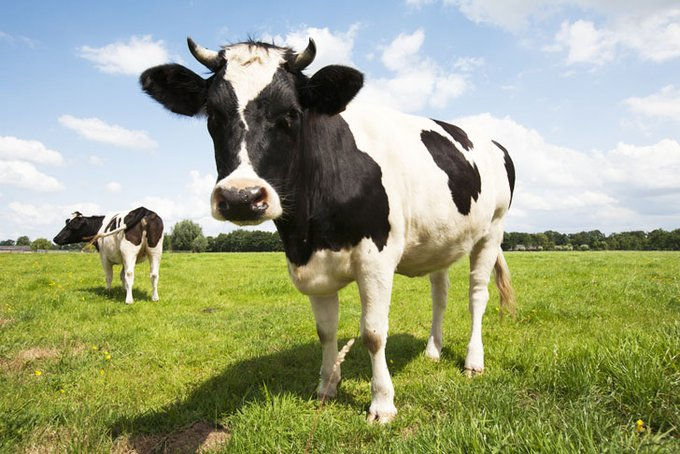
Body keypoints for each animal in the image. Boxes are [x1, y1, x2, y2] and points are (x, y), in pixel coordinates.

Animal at [140, 37, 515, 423]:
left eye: (291, 113)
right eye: (213, 115)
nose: (241, 197)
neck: (308, 233)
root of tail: (493, 142)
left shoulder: (376, 259)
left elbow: (373, 333)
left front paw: (382, 403)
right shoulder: (312, 266)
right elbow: (325, 330)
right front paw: (327, 386)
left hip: (492, 231)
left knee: (477, 295)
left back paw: (473, 360)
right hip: (439, 242)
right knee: (440, 293)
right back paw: (433, 351)